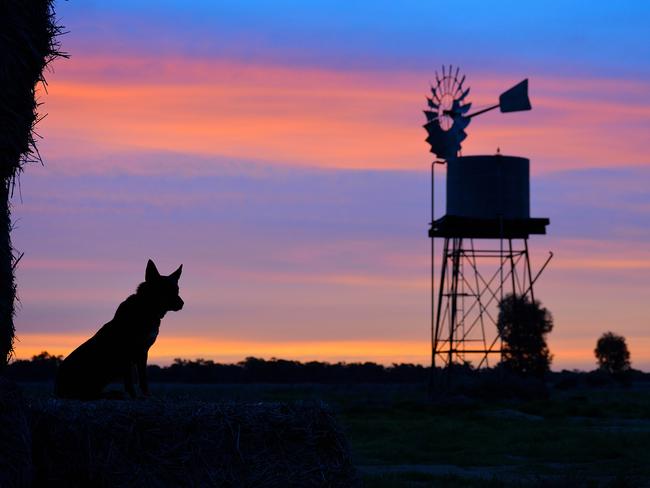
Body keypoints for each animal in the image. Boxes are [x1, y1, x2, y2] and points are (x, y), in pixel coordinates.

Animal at [55, 262, 182, 398]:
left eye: (177, 290)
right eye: (166, 290)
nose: (182, 303)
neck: (146, 308)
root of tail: (58, 388)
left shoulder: (142, 352)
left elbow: (143, 377)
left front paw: (146, 395)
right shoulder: (128, 351)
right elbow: (130, 380)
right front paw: (134, 396)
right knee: (88, 393)